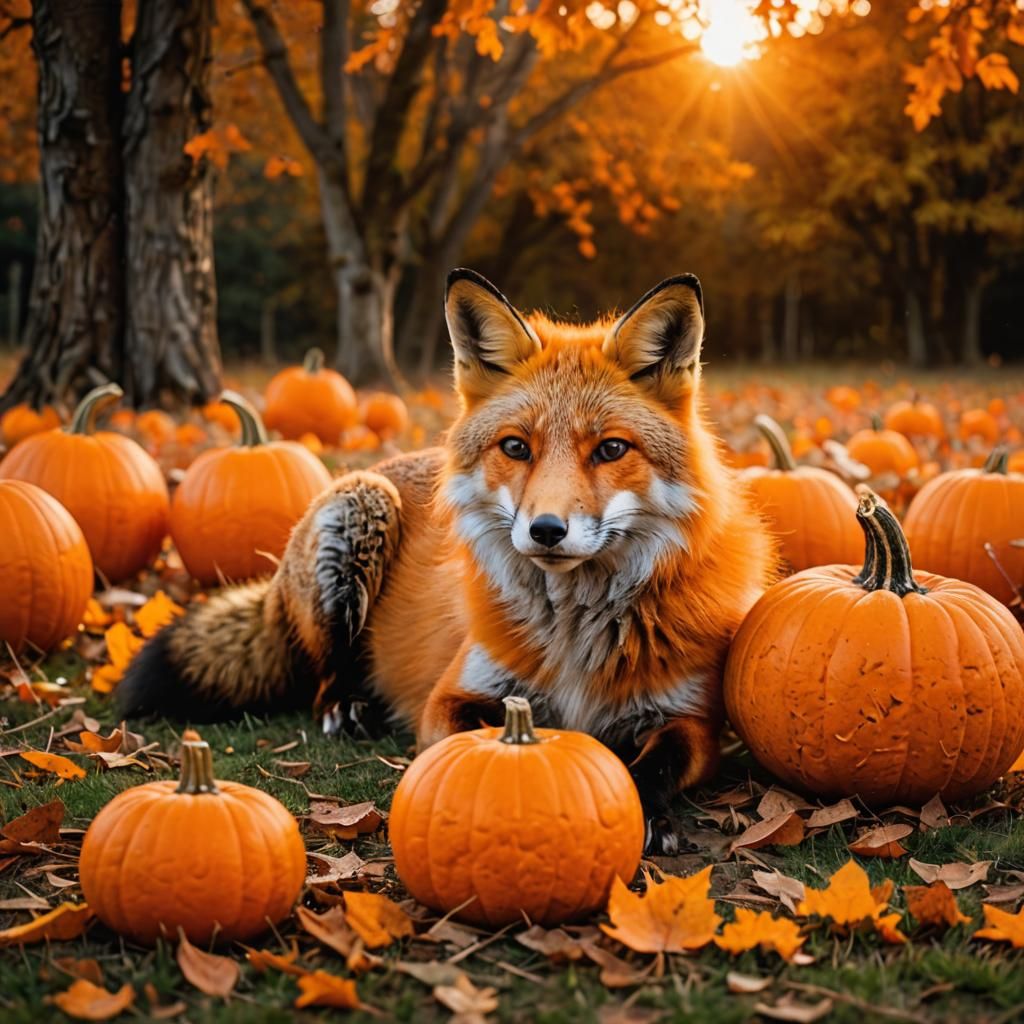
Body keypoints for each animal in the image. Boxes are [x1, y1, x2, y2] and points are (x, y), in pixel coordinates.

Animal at [119, 269, 776, 851]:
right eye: (516, 447)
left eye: (611, 449)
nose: (545, 530)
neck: (574, 634)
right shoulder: (451, 696)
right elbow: (476, 739)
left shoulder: (694, 721)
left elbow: (656, 764)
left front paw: (643, 810)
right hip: (358, 520)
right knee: (323, 675)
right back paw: (348, 708)